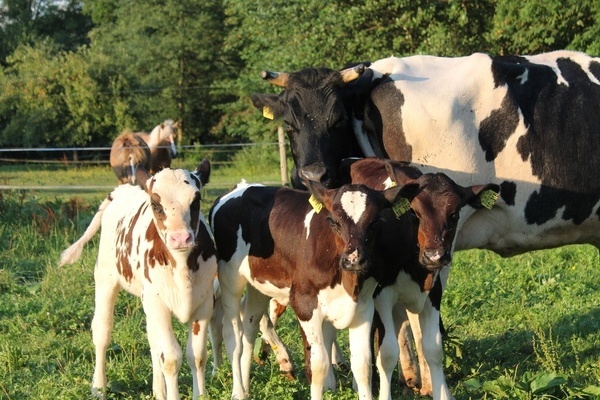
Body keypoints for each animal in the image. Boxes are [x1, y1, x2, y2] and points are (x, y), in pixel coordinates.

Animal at [58, 161, 216, 400]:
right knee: (102, 331)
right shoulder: (158, 303)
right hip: (105, 278)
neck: (182, 267)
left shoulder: (204, 305)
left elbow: (196, 356)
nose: (180, 238)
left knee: (152, 339)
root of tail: (120, 190)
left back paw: (158, 390)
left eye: (195, 201)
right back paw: (98, 387)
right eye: (156, 204)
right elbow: (171, 358)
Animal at [209, 173, 409, 400]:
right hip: (229, 277)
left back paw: (245, 388)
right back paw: (237, 391)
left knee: (250, 325)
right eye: (333, 221)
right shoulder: (305, 304)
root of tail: (241, 187)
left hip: (258, 285)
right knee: (232, 333)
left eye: (375, 222)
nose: (354, 260)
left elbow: (363, 365)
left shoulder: (363, 307)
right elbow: (318, 365)